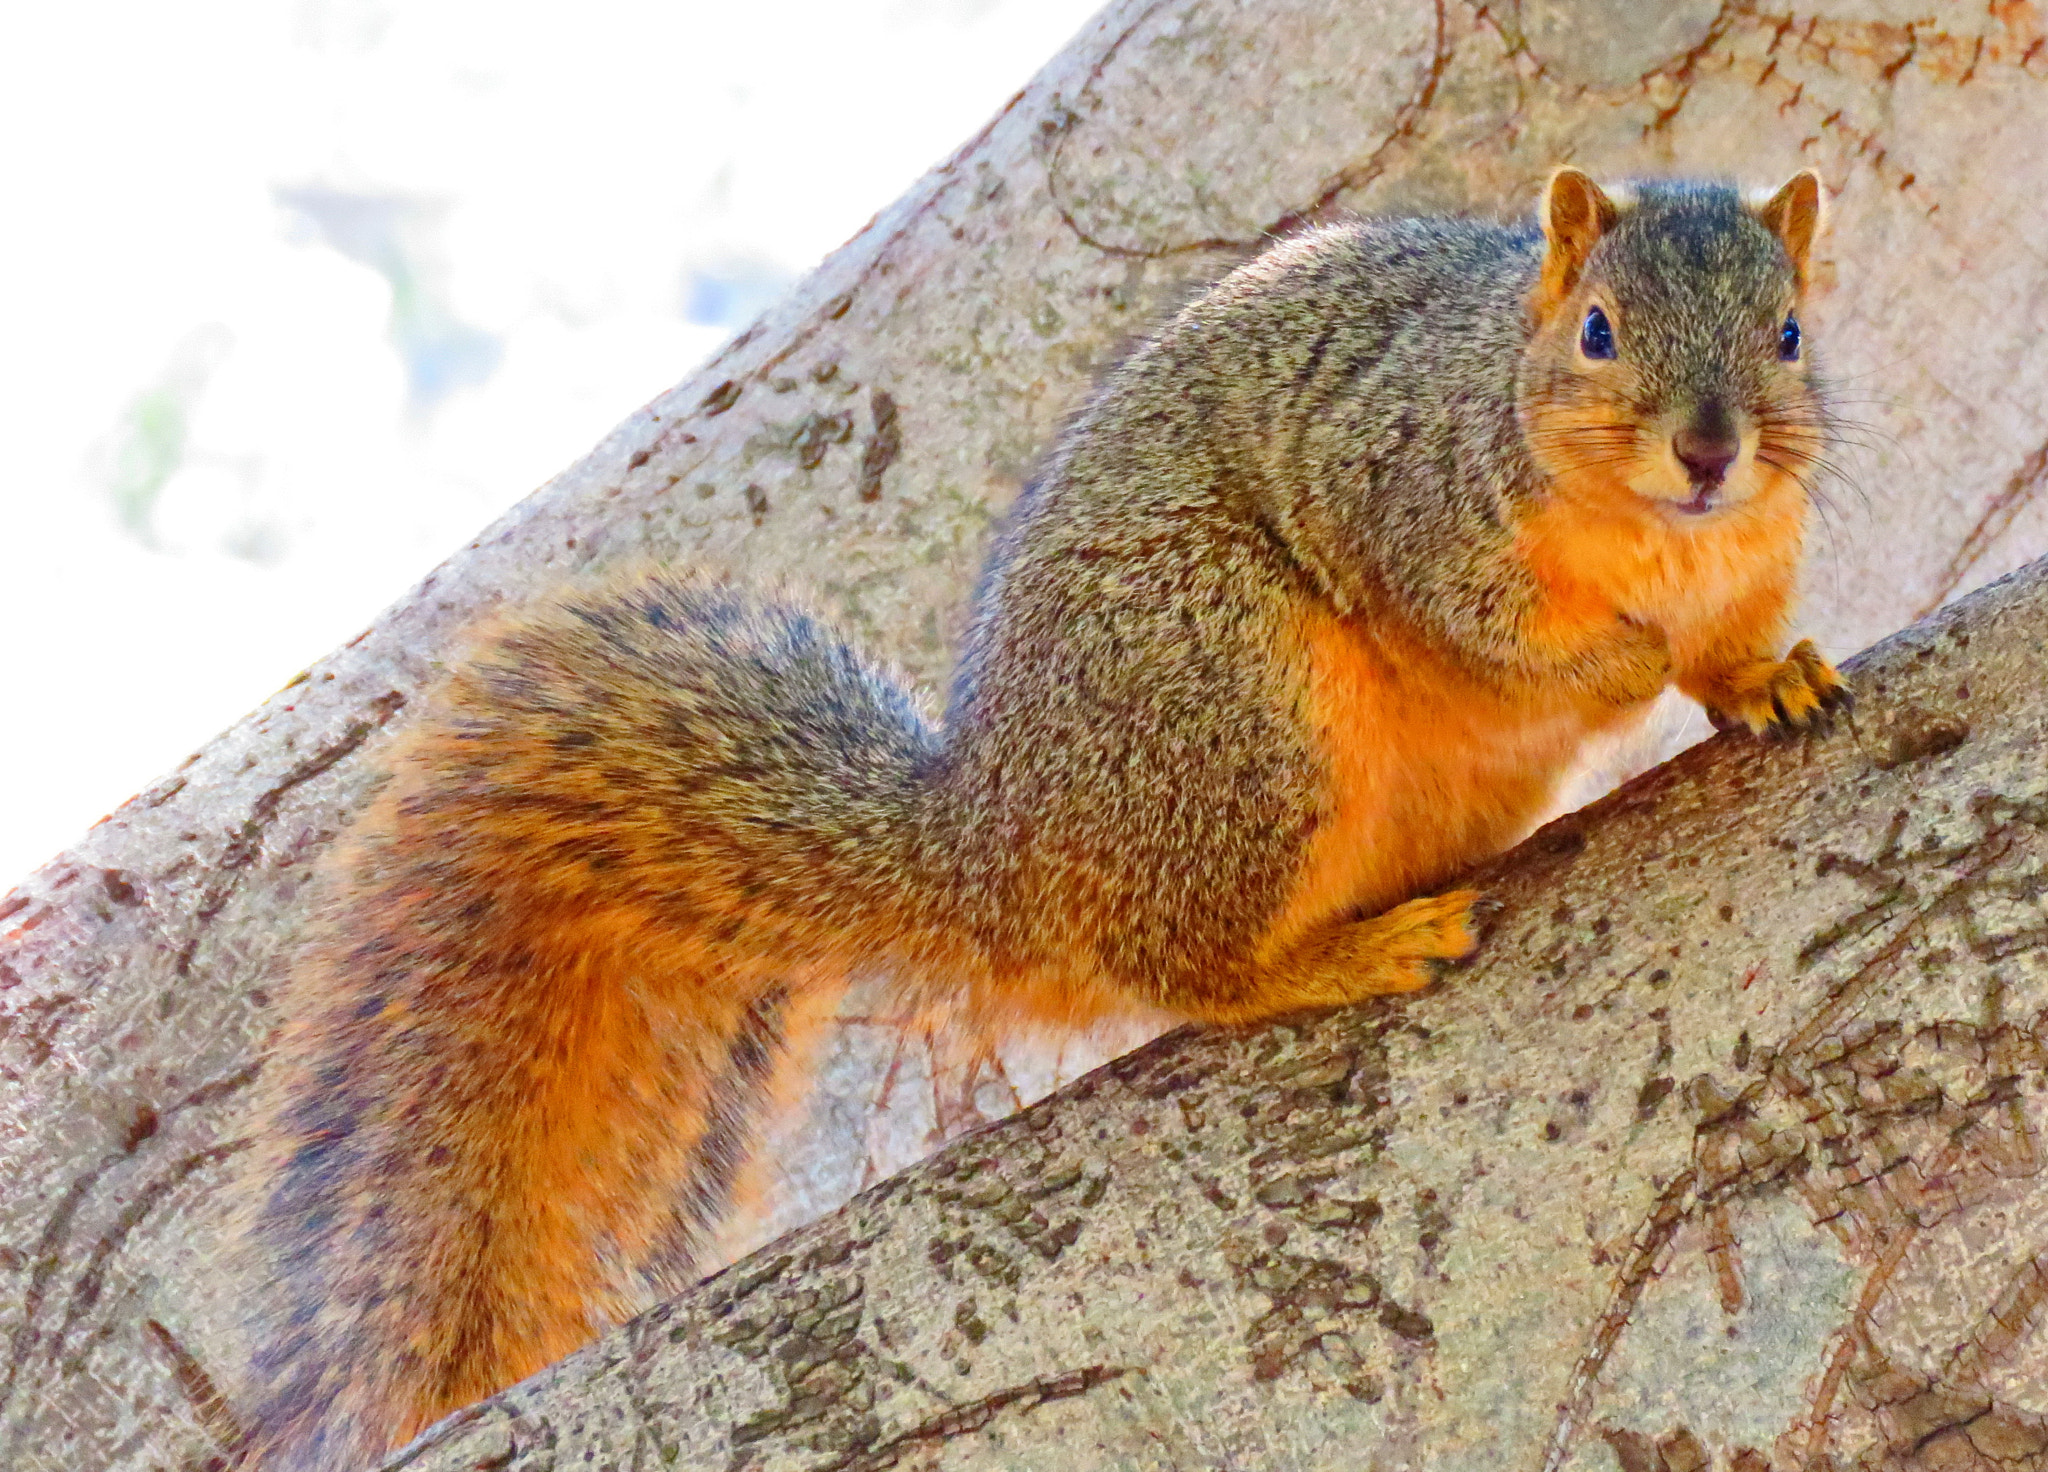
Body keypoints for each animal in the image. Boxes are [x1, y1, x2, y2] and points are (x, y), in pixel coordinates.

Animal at [235, 166, 1843, 1465]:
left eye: (1787, 334)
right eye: (1598, 332)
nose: (1710, 450)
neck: (1658, 539)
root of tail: (1002, 848)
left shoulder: (1753, 553)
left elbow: (1732, 646)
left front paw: (1762, 679)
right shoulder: (1407, 492)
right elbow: (1485, 635)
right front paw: (1620, 665)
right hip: (1228, 696)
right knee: (1190, 969)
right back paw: (1333, 956)